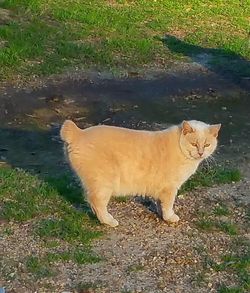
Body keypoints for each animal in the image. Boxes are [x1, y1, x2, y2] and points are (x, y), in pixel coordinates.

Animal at [60, 118, 221, 226]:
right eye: (194, 144)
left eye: (207, 144)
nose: (200, 153)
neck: (179, 146)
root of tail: (79, 132)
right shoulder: (170, 188)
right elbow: (168, 204)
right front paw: (169, 217)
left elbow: (160, 203)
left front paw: (161, 213)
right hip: (103, 184)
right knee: (96, 202)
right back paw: (109, 221)